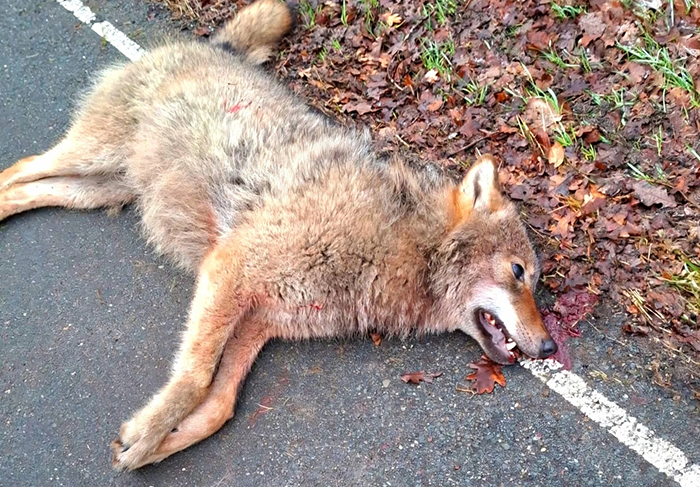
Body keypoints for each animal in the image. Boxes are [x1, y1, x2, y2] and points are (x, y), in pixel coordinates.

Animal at [0, 0, 557, 471]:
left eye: (535, 282)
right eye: (518, 273)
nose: (551, 346)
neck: (399, 244)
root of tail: (213, 45)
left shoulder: (258, 322)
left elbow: (220, 405)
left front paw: (160, 444)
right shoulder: (229, 270)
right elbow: (194, 379)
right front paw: (146, 435)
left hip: (99, 189)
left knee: (28, 188)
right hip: (92, 156)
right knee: (20, 168)